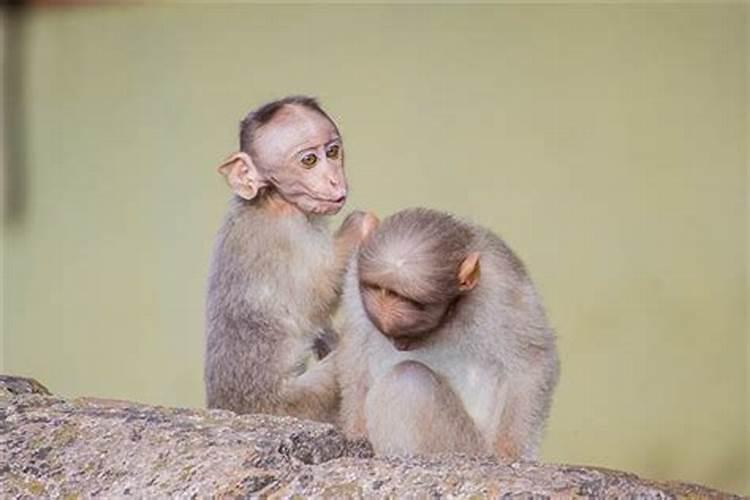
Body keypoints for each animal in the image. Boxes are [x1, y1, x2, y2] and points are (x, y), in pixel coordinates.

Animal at [204, 96, 376, 422]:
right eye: (309, 161)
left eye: (332, 152)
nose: (334, 180)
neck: (272, 198)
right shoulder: (282, 237)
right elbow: (313, 300)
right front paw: (363, 224)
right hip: (293, 403)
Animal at [338, 207, 560, 460]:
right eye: (378, 288)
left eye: (418, 307)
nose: (400, 344)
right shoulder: (355, 273)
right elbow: (357, 342)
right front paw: (356, 434)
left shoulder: (501, 286)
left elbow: (533, 362)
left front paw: (509, 452)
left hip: (466, 444)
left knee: (409, 381)